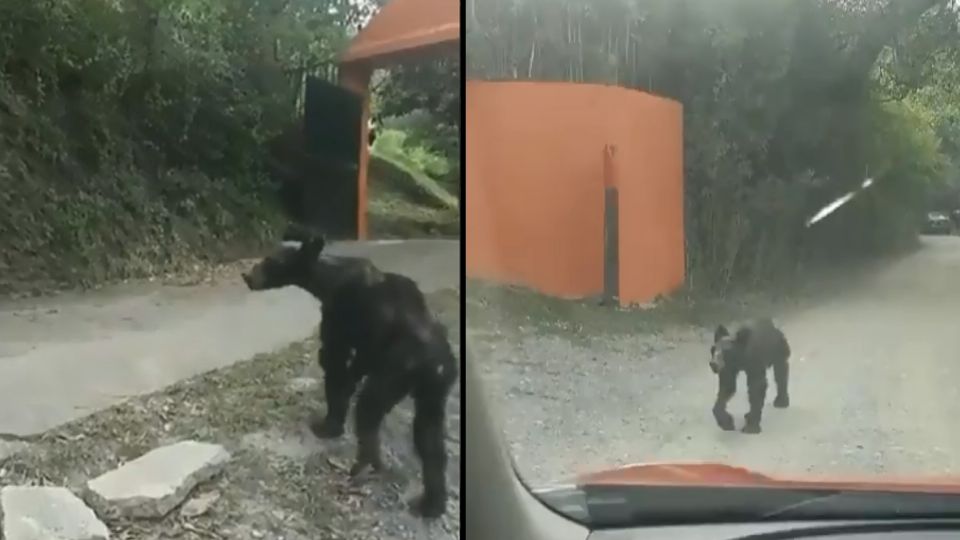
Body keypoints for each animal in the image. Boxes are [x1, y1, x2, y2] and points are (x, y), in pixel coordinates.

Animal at [240, 226, 458, 516]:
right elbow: (354, 367)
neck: (326, 278)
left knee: (369, 409)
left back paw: (365, 466)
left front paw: (328, 424)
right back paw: (431, 502)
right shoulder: (369, 344)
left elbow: (334, 361)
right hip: (435, 388)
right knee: (428, 436)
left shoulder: (339, 315)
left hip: (397, 371)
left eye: (271, 261)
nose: (247, 275)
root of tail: (435, 360)